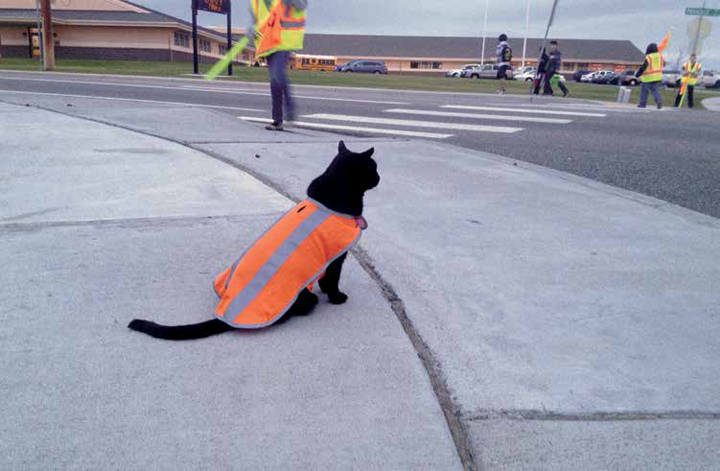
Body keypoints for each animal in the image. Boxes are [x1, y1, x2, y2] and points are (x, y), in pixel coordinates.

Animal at [126, 142, 380, 342]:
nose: (380, 177)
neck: (335, 191)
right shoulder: (336, 257)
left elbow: (326, 279)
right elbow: (332, 281)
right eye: (373, 168)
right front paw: (337, 298)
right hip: (301, 300)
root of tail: (226, 315)